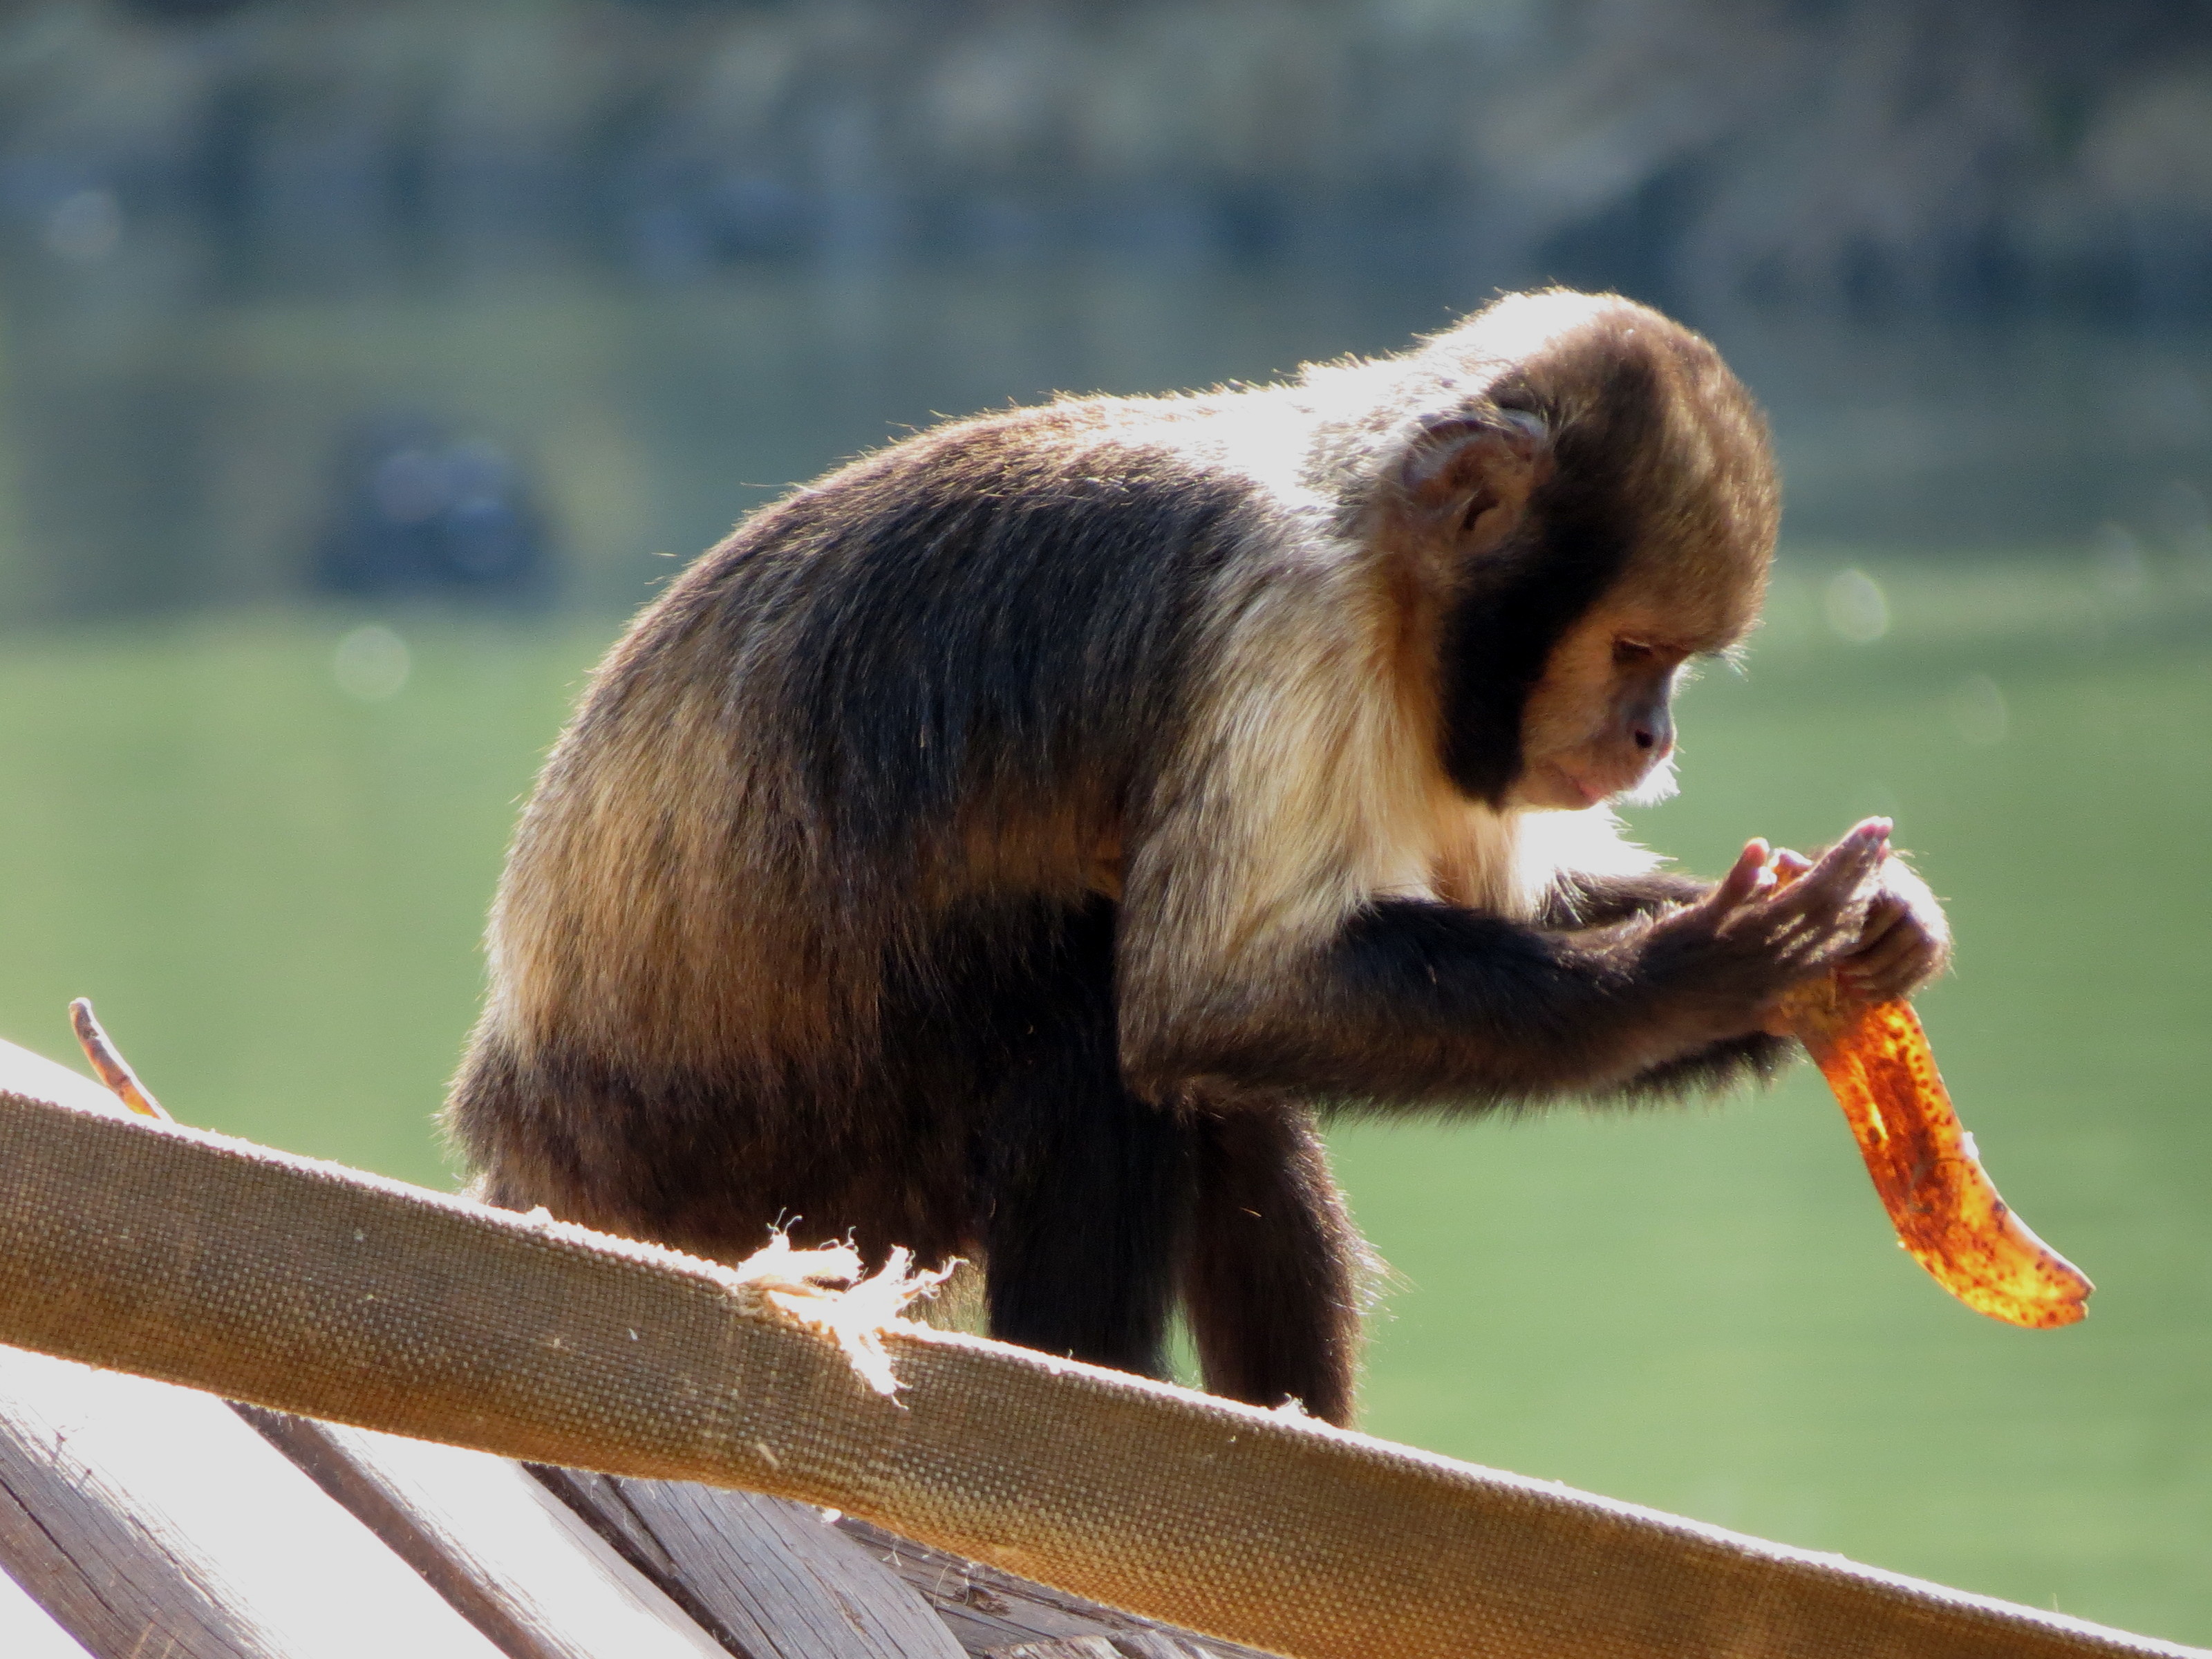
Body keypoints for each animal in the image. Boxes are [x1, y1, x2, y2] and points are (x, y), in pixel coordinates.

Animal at [440, 290, 1947, 1433]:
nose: (1650, 731)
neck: (1377, 562)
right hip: (747, 1176)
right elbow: (1202, 998)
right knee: (1087, 1015)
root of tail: (521, 1130)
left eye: (1673, 664)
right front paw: (1706, 971)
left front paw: (1867, 936)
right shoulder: (1285, 617)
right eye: (1634, 651)